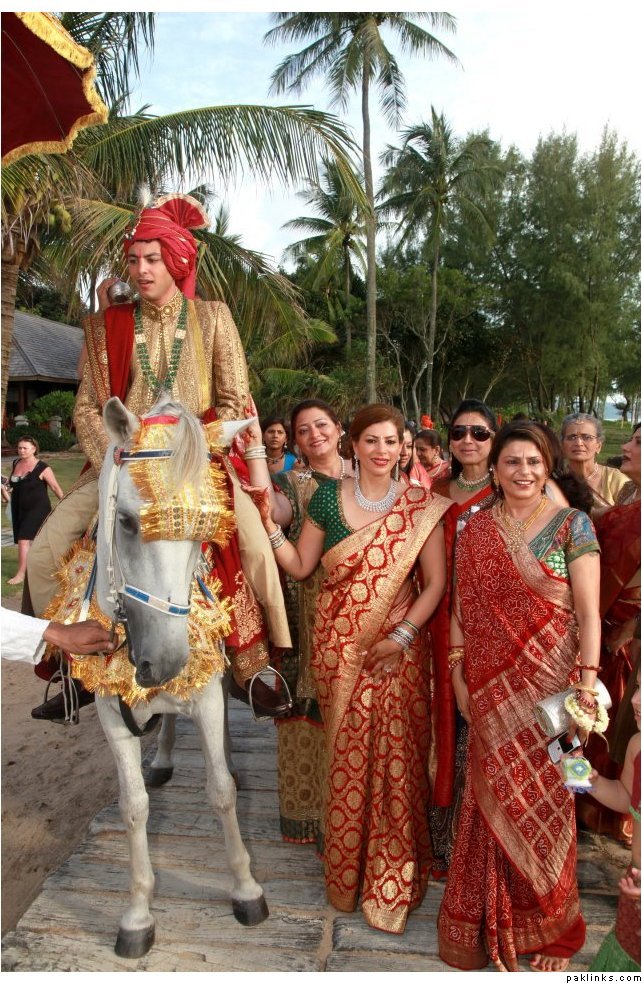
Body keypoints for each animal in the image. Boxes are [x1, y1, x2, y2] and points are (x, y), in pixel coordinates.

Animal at [87, 394, 268, 958]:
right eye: (125, 521)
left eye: (204, 533)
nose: (165, 662)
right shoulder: (111, 711)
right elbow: (133, 807)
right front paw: (137, 914)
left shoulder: (206, 692)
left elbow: (221, 790)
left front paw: (246, 889)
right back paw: (164, 756)